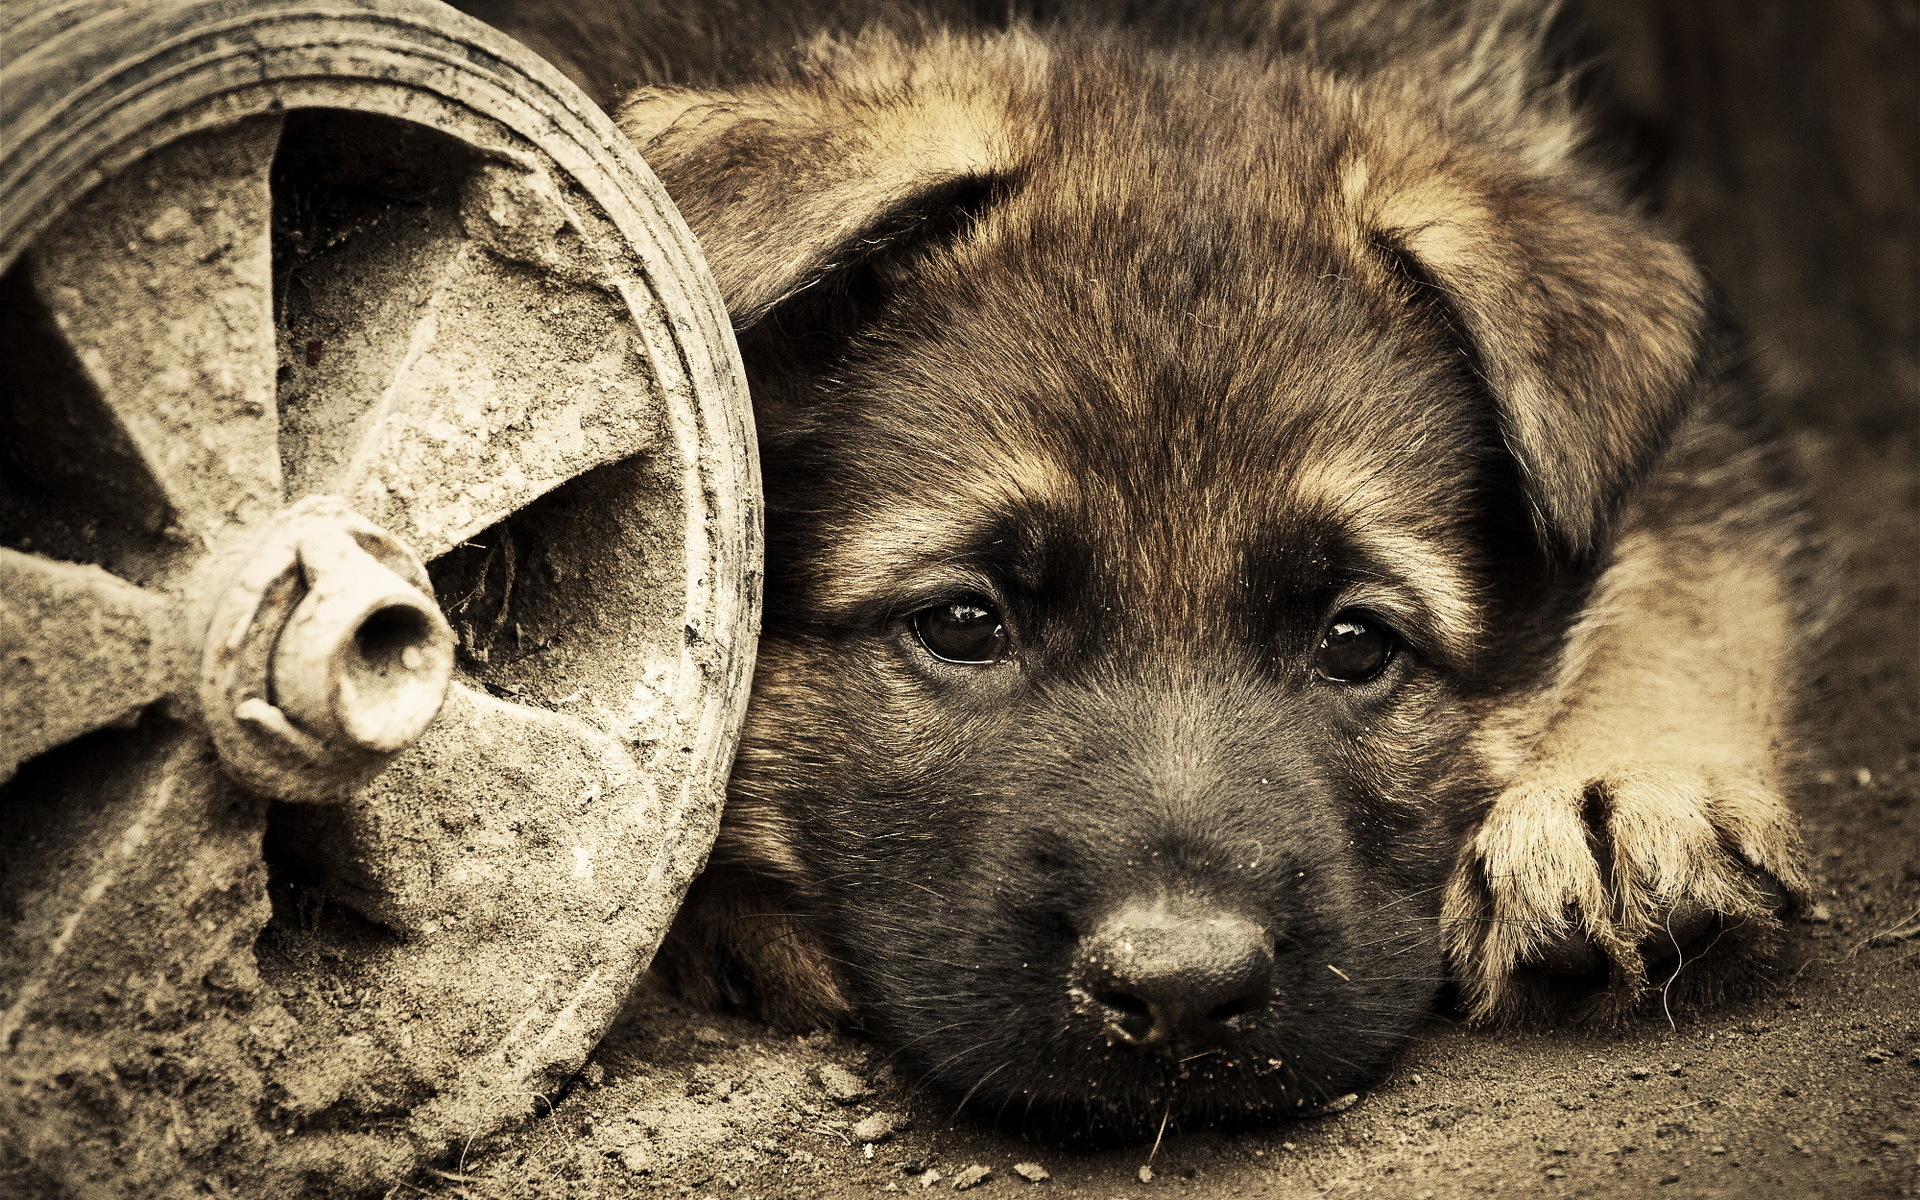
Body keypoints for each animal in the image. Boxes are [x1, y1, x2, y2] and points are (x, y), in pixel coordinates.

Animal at [468, 0, 1812, 1144]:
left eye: (1356, 641)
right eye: (963, 623)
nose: (1177, 996)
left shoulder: (1713, 443)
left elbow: (1692, 576)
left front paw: (1624, 791)